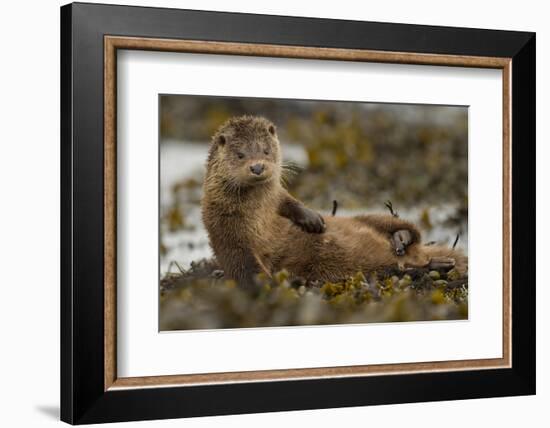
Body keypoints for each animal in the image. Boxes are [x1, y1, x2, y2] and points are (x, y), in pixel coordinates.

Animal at [201, 115, 468, 290]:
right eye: (240, 155)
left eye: (266, 150)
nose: (257, 166)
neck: (258, 214)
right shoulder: (227, 232)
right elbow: (246, 269)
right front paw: (279, 284)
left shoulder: (276, 197)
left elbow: (289, 201)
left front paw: (313, 221)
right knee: (397, 268)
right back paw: (434, 265)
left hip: (370, 217)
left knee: (408, 230)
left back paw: (401, 239)